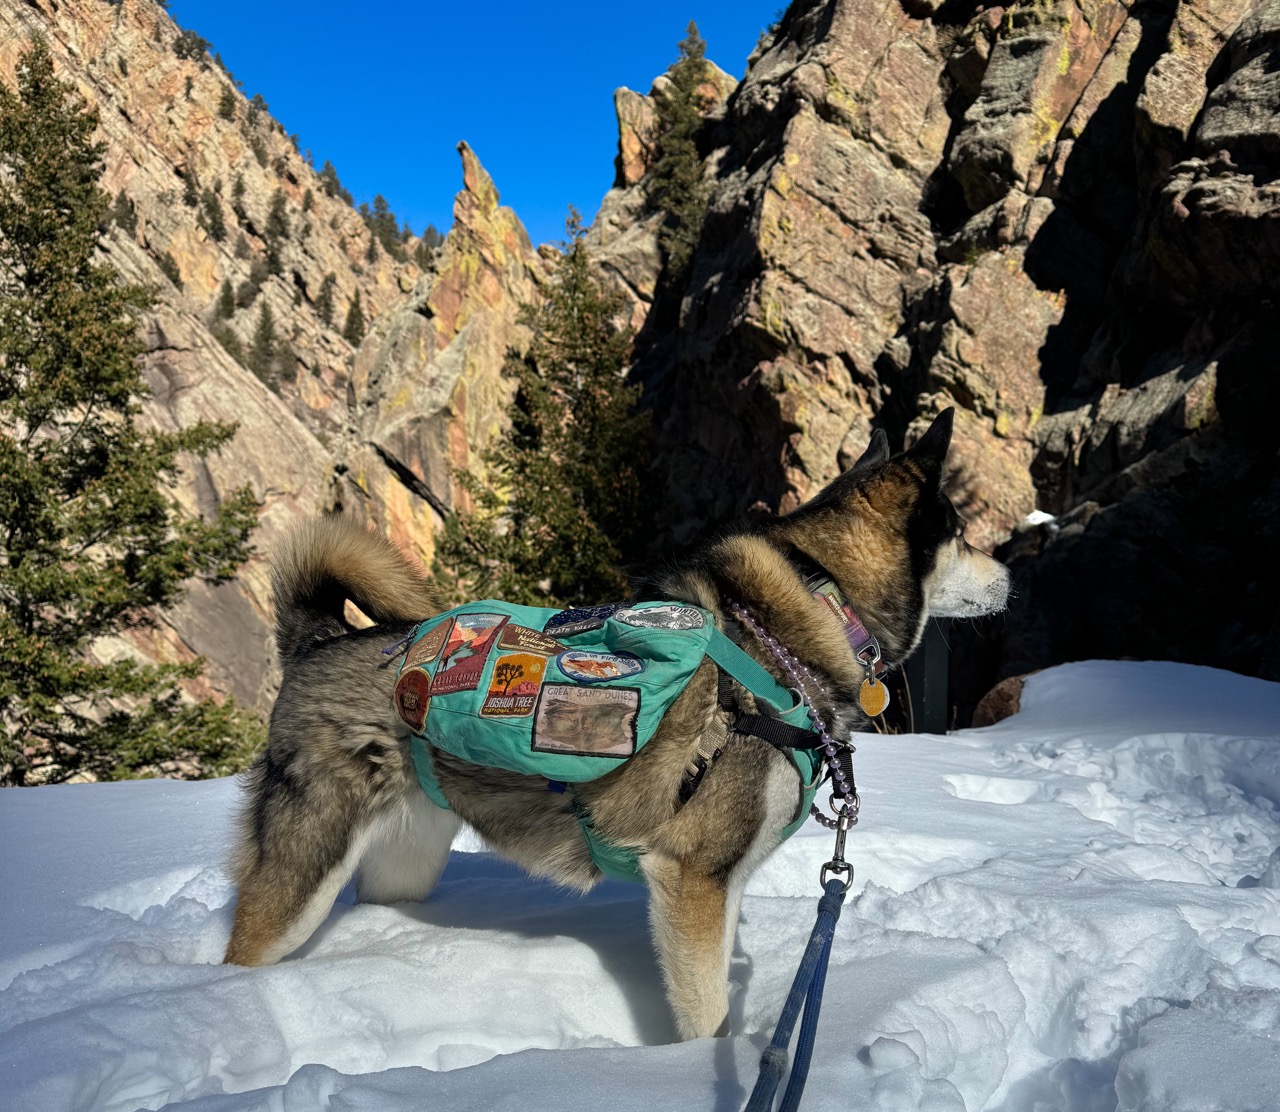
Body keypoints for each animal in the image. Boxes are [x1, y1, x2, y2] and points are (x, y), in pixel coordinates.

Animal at [227, 406, 1008, 1039]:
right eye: (963, 533)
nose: (1009, 576)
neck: (811, 621)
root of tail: (316, 641)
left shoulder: (715, 885)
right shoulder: (691, 875)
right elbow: (708, 1017)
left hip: (407, 859)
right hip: (305, 868)